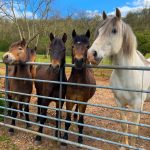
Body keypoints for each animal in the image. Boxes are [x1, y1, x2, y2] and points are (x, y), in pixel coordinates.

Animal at [87, 8, 149, 150]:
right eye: (99, 31)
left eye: (114, 30)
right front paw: (123, 146)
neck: (128, 75)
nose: (91, 54)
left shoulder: (137, 105)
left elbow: (134, 129)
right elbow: (124, 125)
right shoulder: (119, 103)